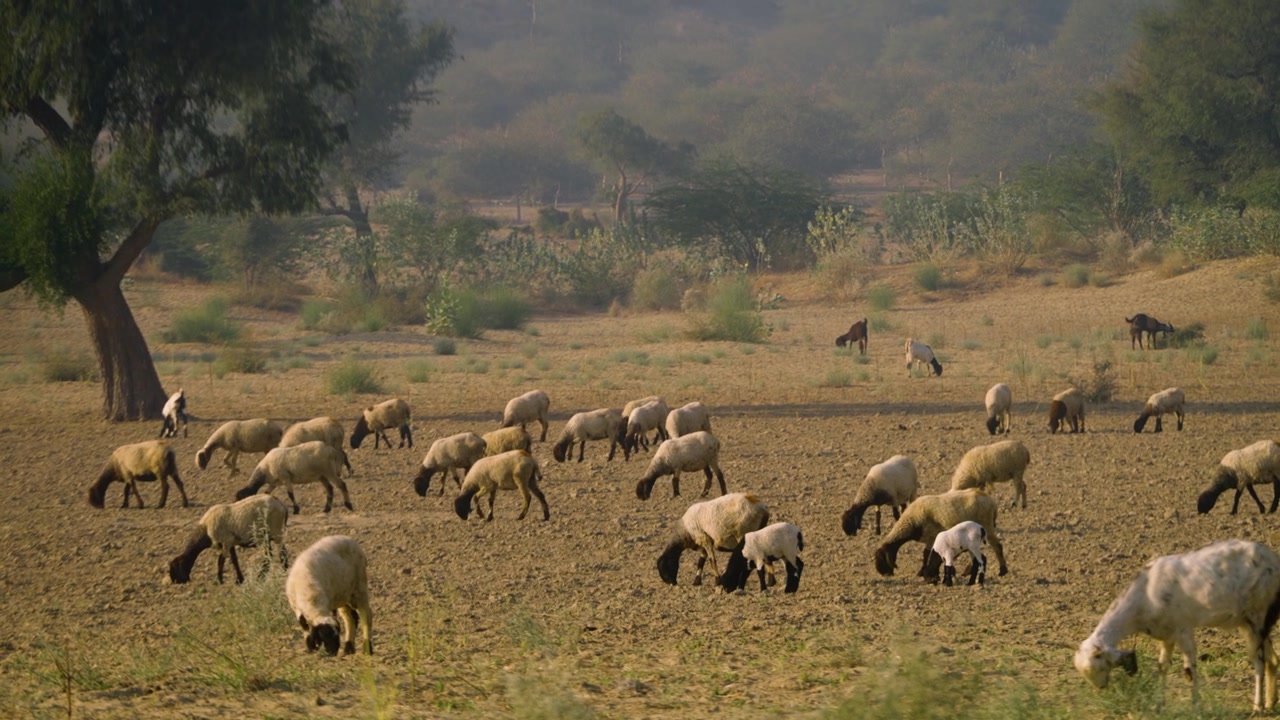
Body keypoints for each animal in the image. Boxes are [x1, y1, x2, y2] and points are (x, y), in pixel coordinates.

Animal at [873, 489, 1008, 581]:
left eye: (882, 558)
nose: (883, 573)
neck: (912, 521)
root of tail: (992, 502)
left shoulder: (931, 537)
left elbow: (926, 554)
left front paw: (923, 572)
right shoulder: (929, 539)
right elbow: (928, 554)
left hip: (987, 525)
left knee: (997, 547)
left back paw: (1002, 571)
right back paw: (968, 571)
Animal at [1074, 539, 1280, 712]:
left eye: (1100, 667)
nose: (1101, 687)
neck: (1144, 596)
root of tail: (1273, 559)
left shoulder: (1183, 629)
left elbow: (1189, 671)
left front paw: (1196, 708)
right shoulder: (1166, 635)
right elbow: (1162, 667)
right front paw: (1159, 706)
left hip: (1257, 615)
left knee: (1259, 662)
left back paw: (1257, 707)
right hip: (1250, 622)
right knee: (1273, 659)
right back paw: (1270, 703)